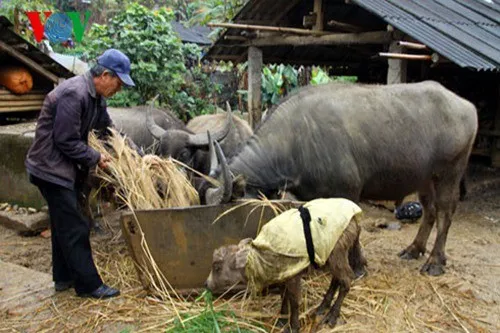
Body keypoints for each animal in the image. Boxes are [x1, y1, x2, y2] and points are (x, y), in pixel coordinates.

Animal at [205, 80, 478, 274]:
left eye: (232, 214)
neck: (296, 140)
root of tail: (468, 106)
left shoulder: (349, 193)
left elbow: (353, 230)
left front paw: (358, 266)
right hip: (425, 178)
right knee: (429, 211)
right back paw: (414, 249)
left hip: (449, 173)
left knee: (445, 212)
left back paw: (435, 262)